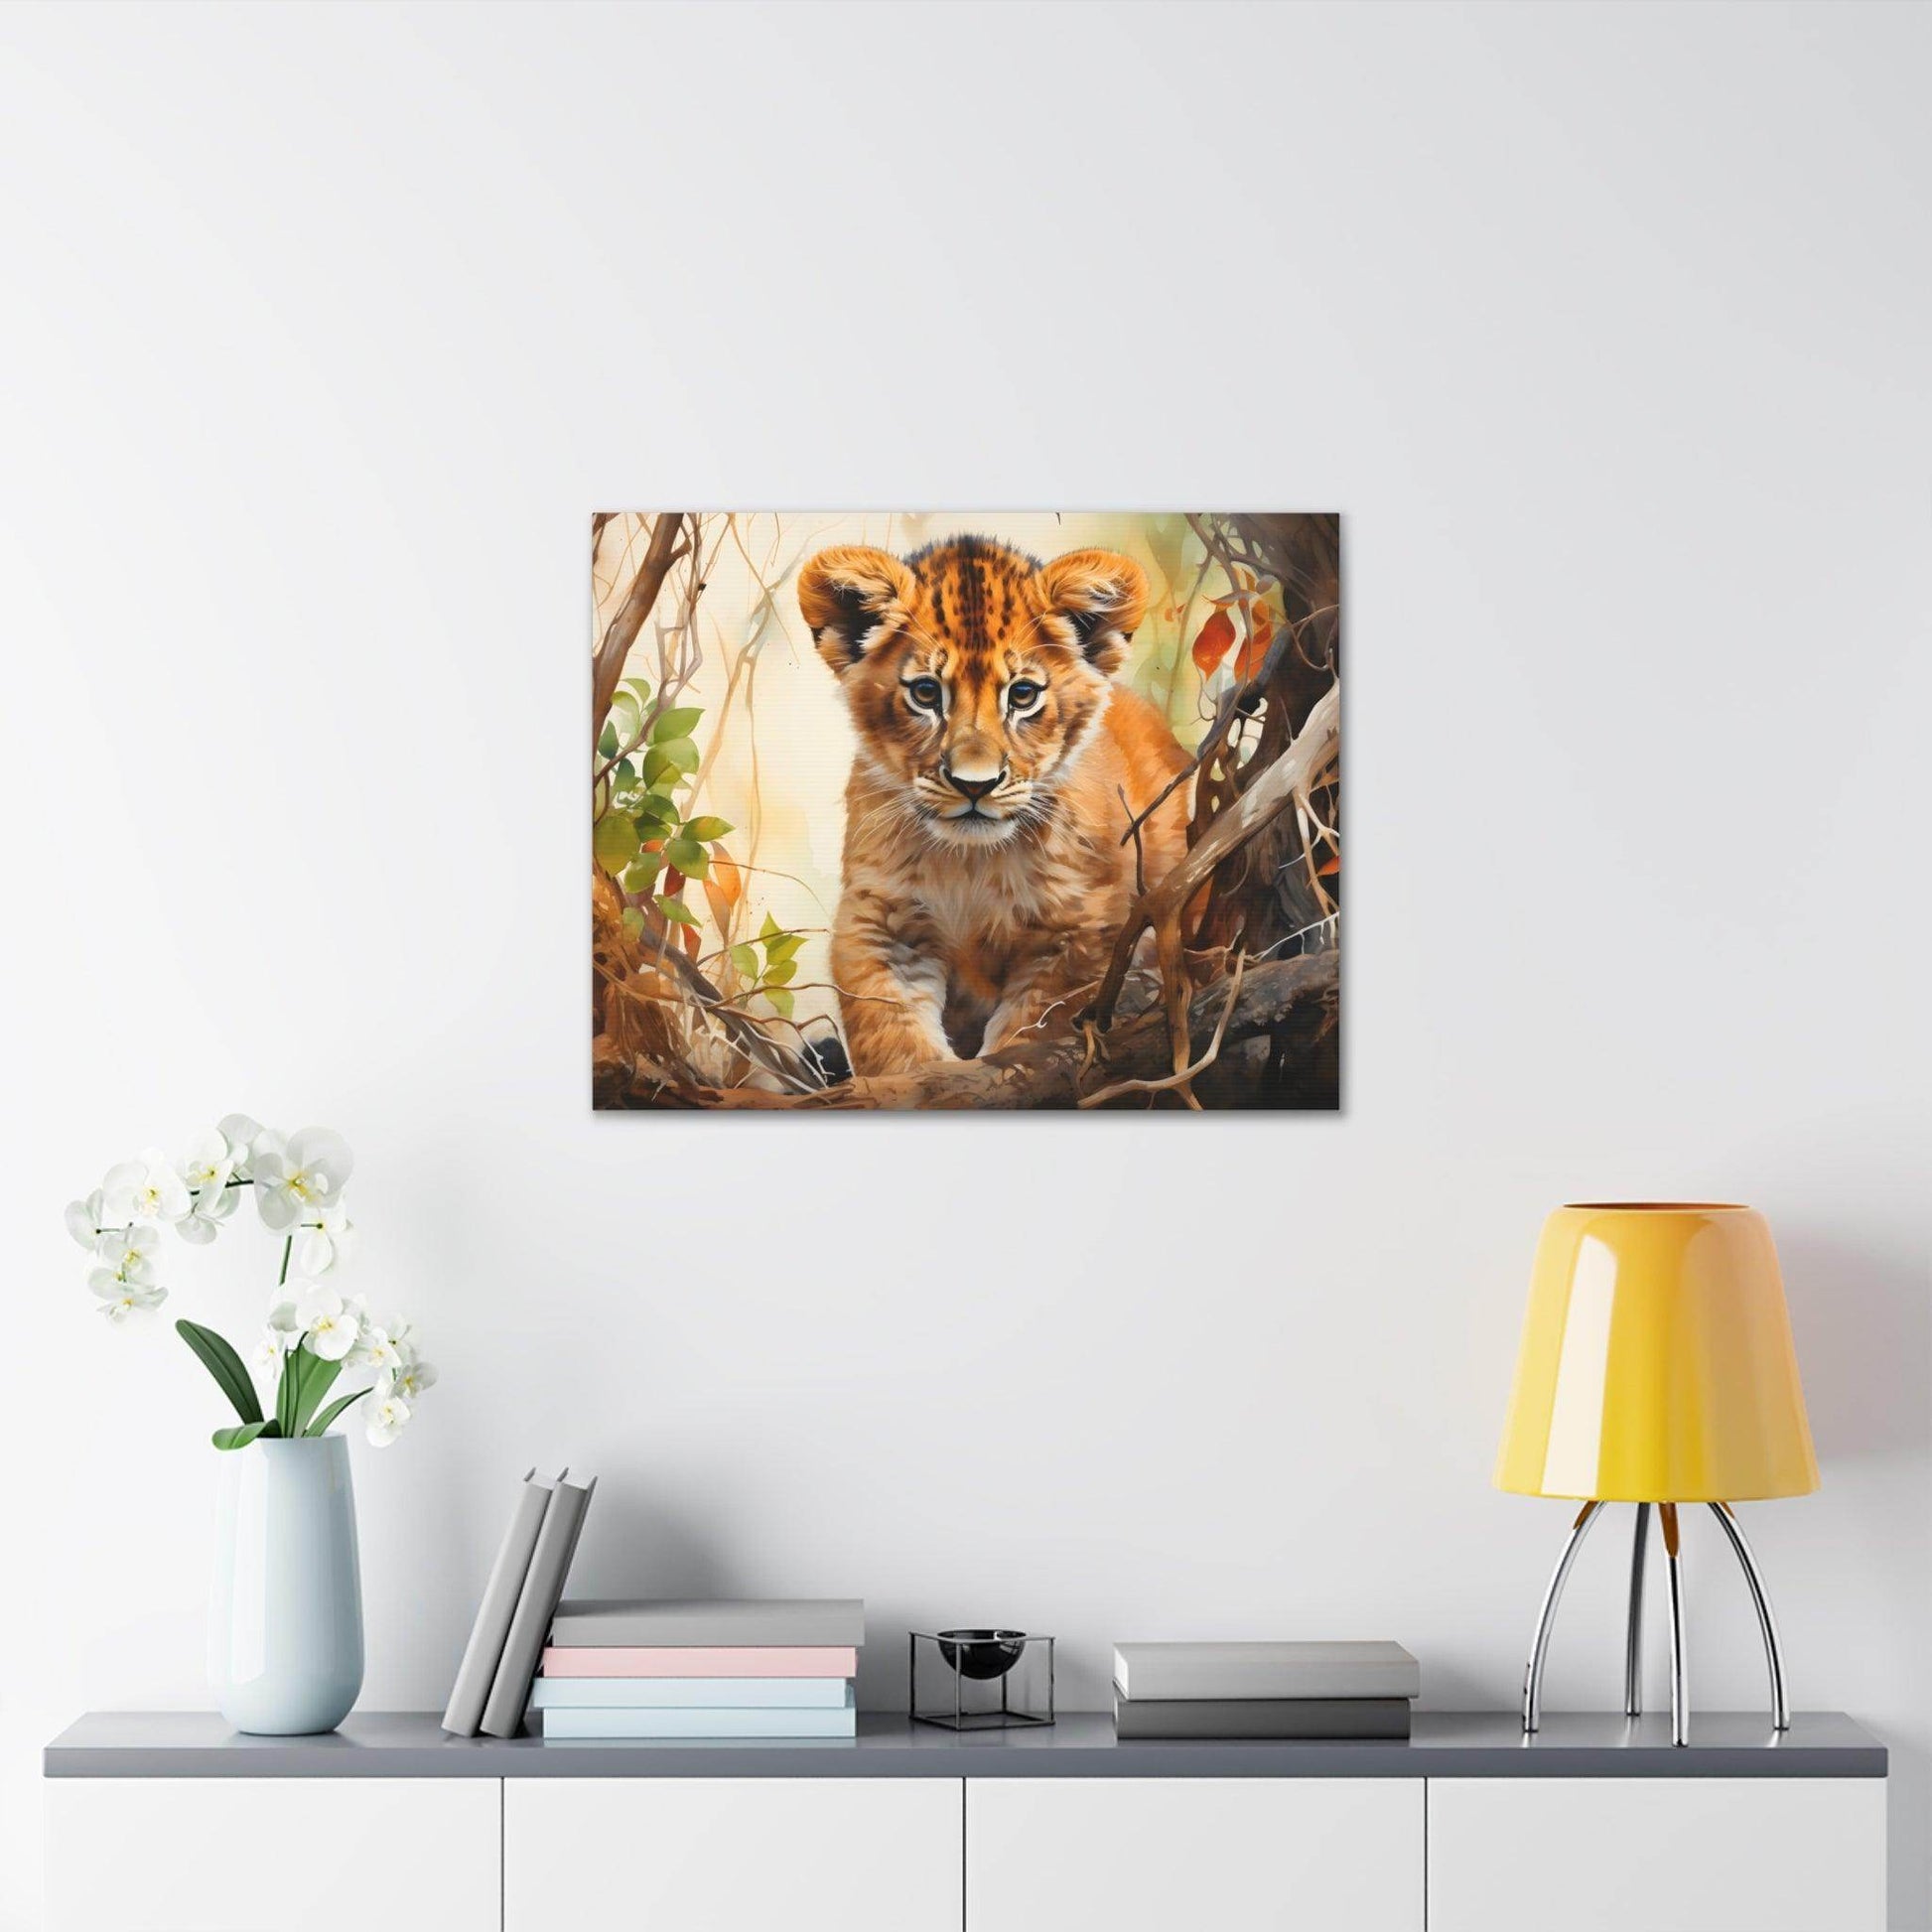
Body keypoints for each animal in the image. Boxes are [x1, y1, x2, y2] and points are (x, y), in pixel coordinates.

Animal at [798, 534, 1192, 1077]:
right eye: (926, 693)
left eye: (1022, 695)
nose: (974, 785)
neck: (971, 863)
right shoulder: (881, 921)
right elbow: (890, 1032)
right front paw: (924, 1078)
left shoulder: (1080, 931)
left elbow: (1035, 1031)